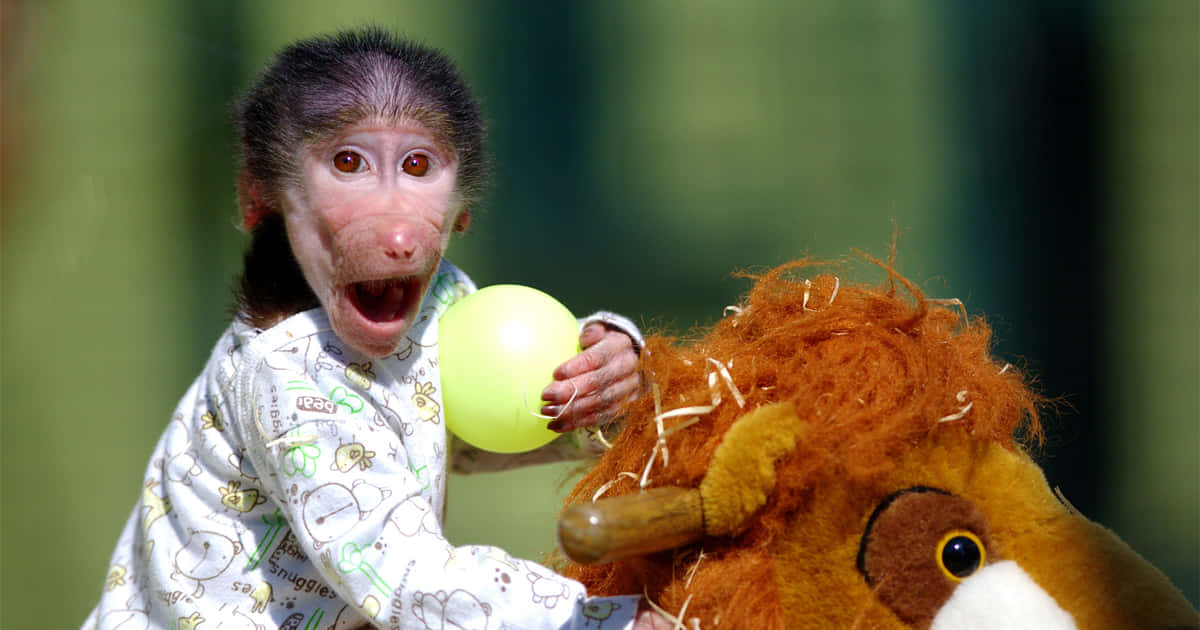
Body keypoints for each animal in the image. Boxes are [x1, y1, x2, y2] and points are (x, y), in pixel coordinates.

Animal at [82, 28, 667, 630]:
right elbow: (393, 548)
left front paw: (611, 368)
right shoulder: (297, 401)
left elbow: (476, 450)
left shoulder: (447, 283)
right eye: (348, 163)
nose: (399, 236)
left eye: (415, 166)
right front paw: (629, 616)